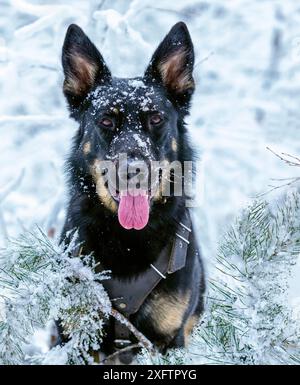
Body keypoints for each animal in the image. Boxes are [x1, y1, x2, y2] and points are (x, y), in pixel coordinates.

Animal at [60, 21, 206, 362]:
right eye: (106, 121)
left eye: (156, 118)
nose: (133, 171)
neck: (127, 239)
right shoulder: (75, 338)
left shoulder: (169, 341)